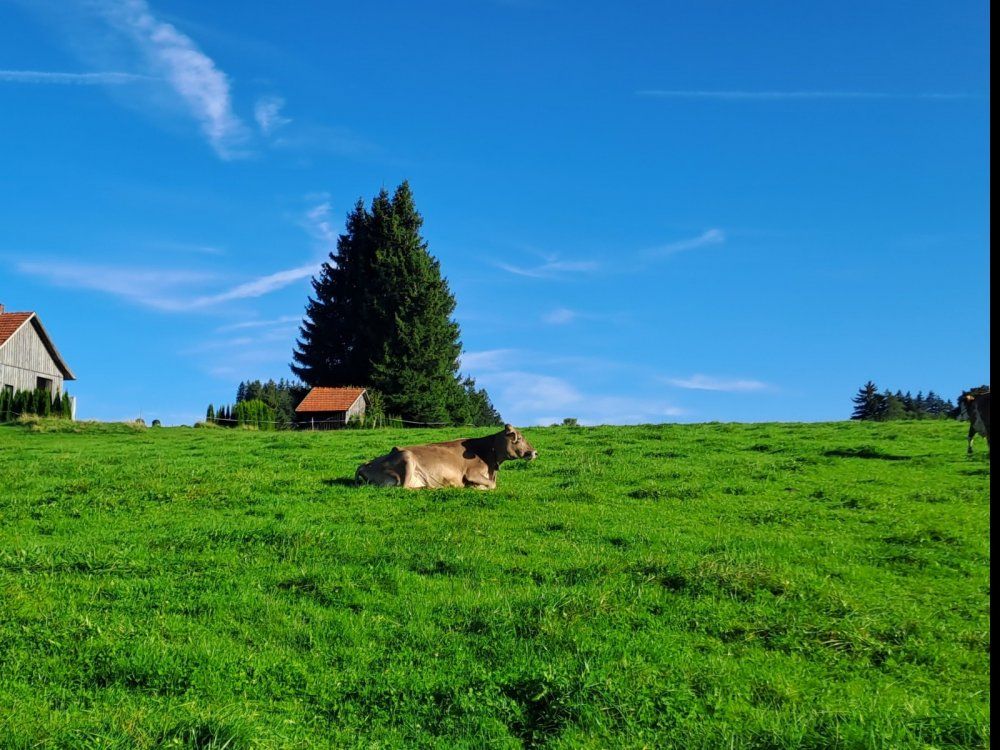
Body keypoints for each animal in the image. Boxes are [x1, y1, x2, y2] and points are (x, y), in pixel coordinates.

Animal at [355, 424, 537, 489]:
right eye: (519, 438)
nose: (535, 452)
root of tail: (365, 464)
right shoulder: (471, 473)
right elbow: (492, 485)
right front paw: (475, 487)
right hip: (406, 456)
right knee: (405, 487)